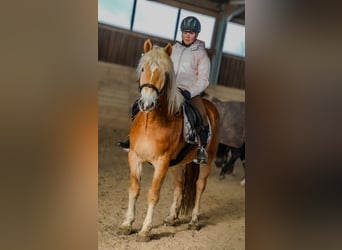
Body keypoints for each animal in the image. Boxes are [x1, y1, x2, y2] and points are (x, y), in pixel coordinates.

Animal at [119, 39, 219, 242]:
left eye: (164, 73)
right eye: (143, 68)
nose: (146, 103)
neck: (151, 122)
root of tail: (211, 106)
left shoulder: (162, 162)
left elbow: (153, 194)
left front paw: (145, 230)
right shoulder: (134, 157)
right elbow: (134, 189)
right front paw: (127, 224)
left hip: (207, 161)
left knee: (199, 186)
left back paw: (194, 221)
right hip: (178, 164)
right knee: (179, 185)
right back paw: (172, 217)